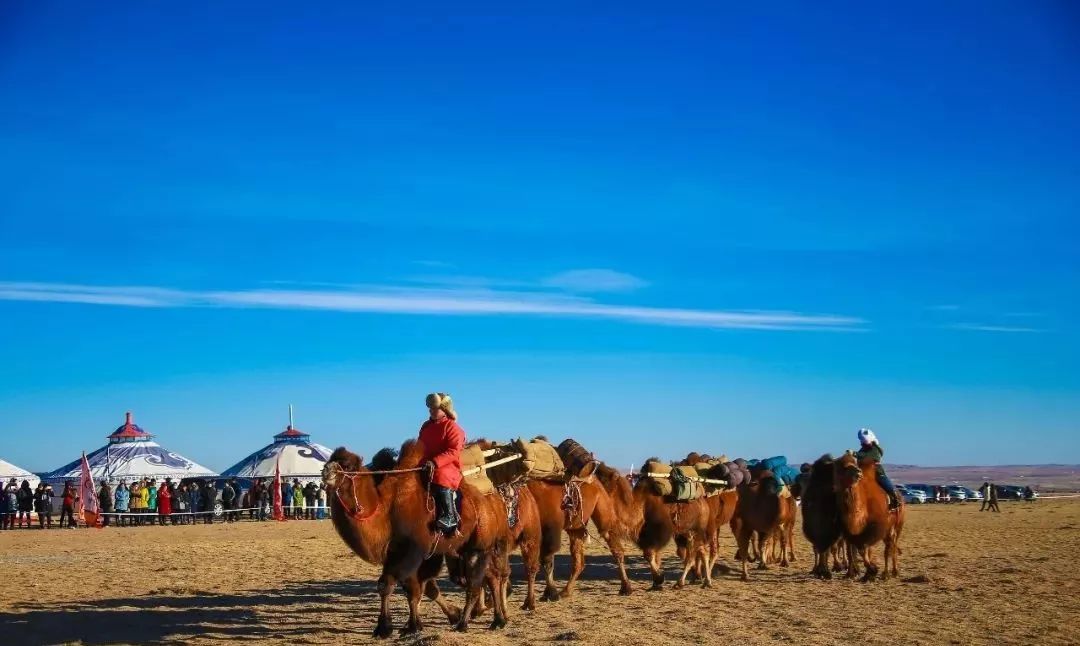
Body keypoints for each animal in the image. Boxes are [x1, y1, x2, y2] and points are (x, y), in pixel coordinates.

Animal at [319, 442, 514, 639]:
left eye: (347, 465)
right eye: (330, 459)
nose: (325, 471)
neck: (387, 510)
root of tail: (494, 501)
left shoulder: (411, 551)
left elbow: (389, 585)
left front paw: (385, 628)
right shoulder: (406, 554)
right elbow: (416, 589)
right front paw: (413, 625)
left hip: (478, 546)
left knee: (475, 584)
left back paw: (465, 623)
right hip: (466, 548)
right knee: (491, 577)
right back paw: (498, 620)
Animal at [799, 455, 846, 583]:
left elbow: (830, 549)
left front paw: (830, 570)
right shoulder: (814, 531)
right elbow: (818, 549)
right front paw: (818, 571)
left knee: (839, 545)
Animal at [833, 451, 902, 583]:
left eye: (854, 462)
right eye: (843, 466)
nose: (858, 472)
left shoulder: (872, 529)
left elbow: (863, 549)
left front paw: (872, 571)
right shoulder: (849, 533)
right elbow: (852, 551)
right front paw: (852, 574)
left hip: (895, 527)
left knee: (890, 547)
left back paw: (888, 573)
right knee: (890, 546)